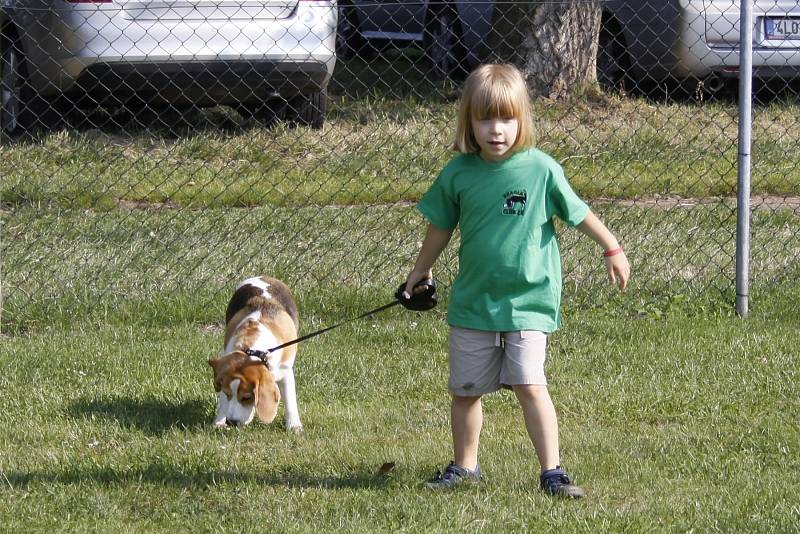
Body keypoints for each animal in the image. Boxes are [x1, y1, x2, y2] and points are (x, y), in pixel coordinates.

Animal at [208, 278, 302, 434]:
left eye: (247, 397)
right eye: (228, 394)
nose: (232, 422)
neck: (255, 352)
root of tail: (264, 277)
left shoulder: (286, 371)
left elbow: (290, 401)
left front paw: (294, 425)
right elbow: (223, 402)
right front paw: (219, 422)